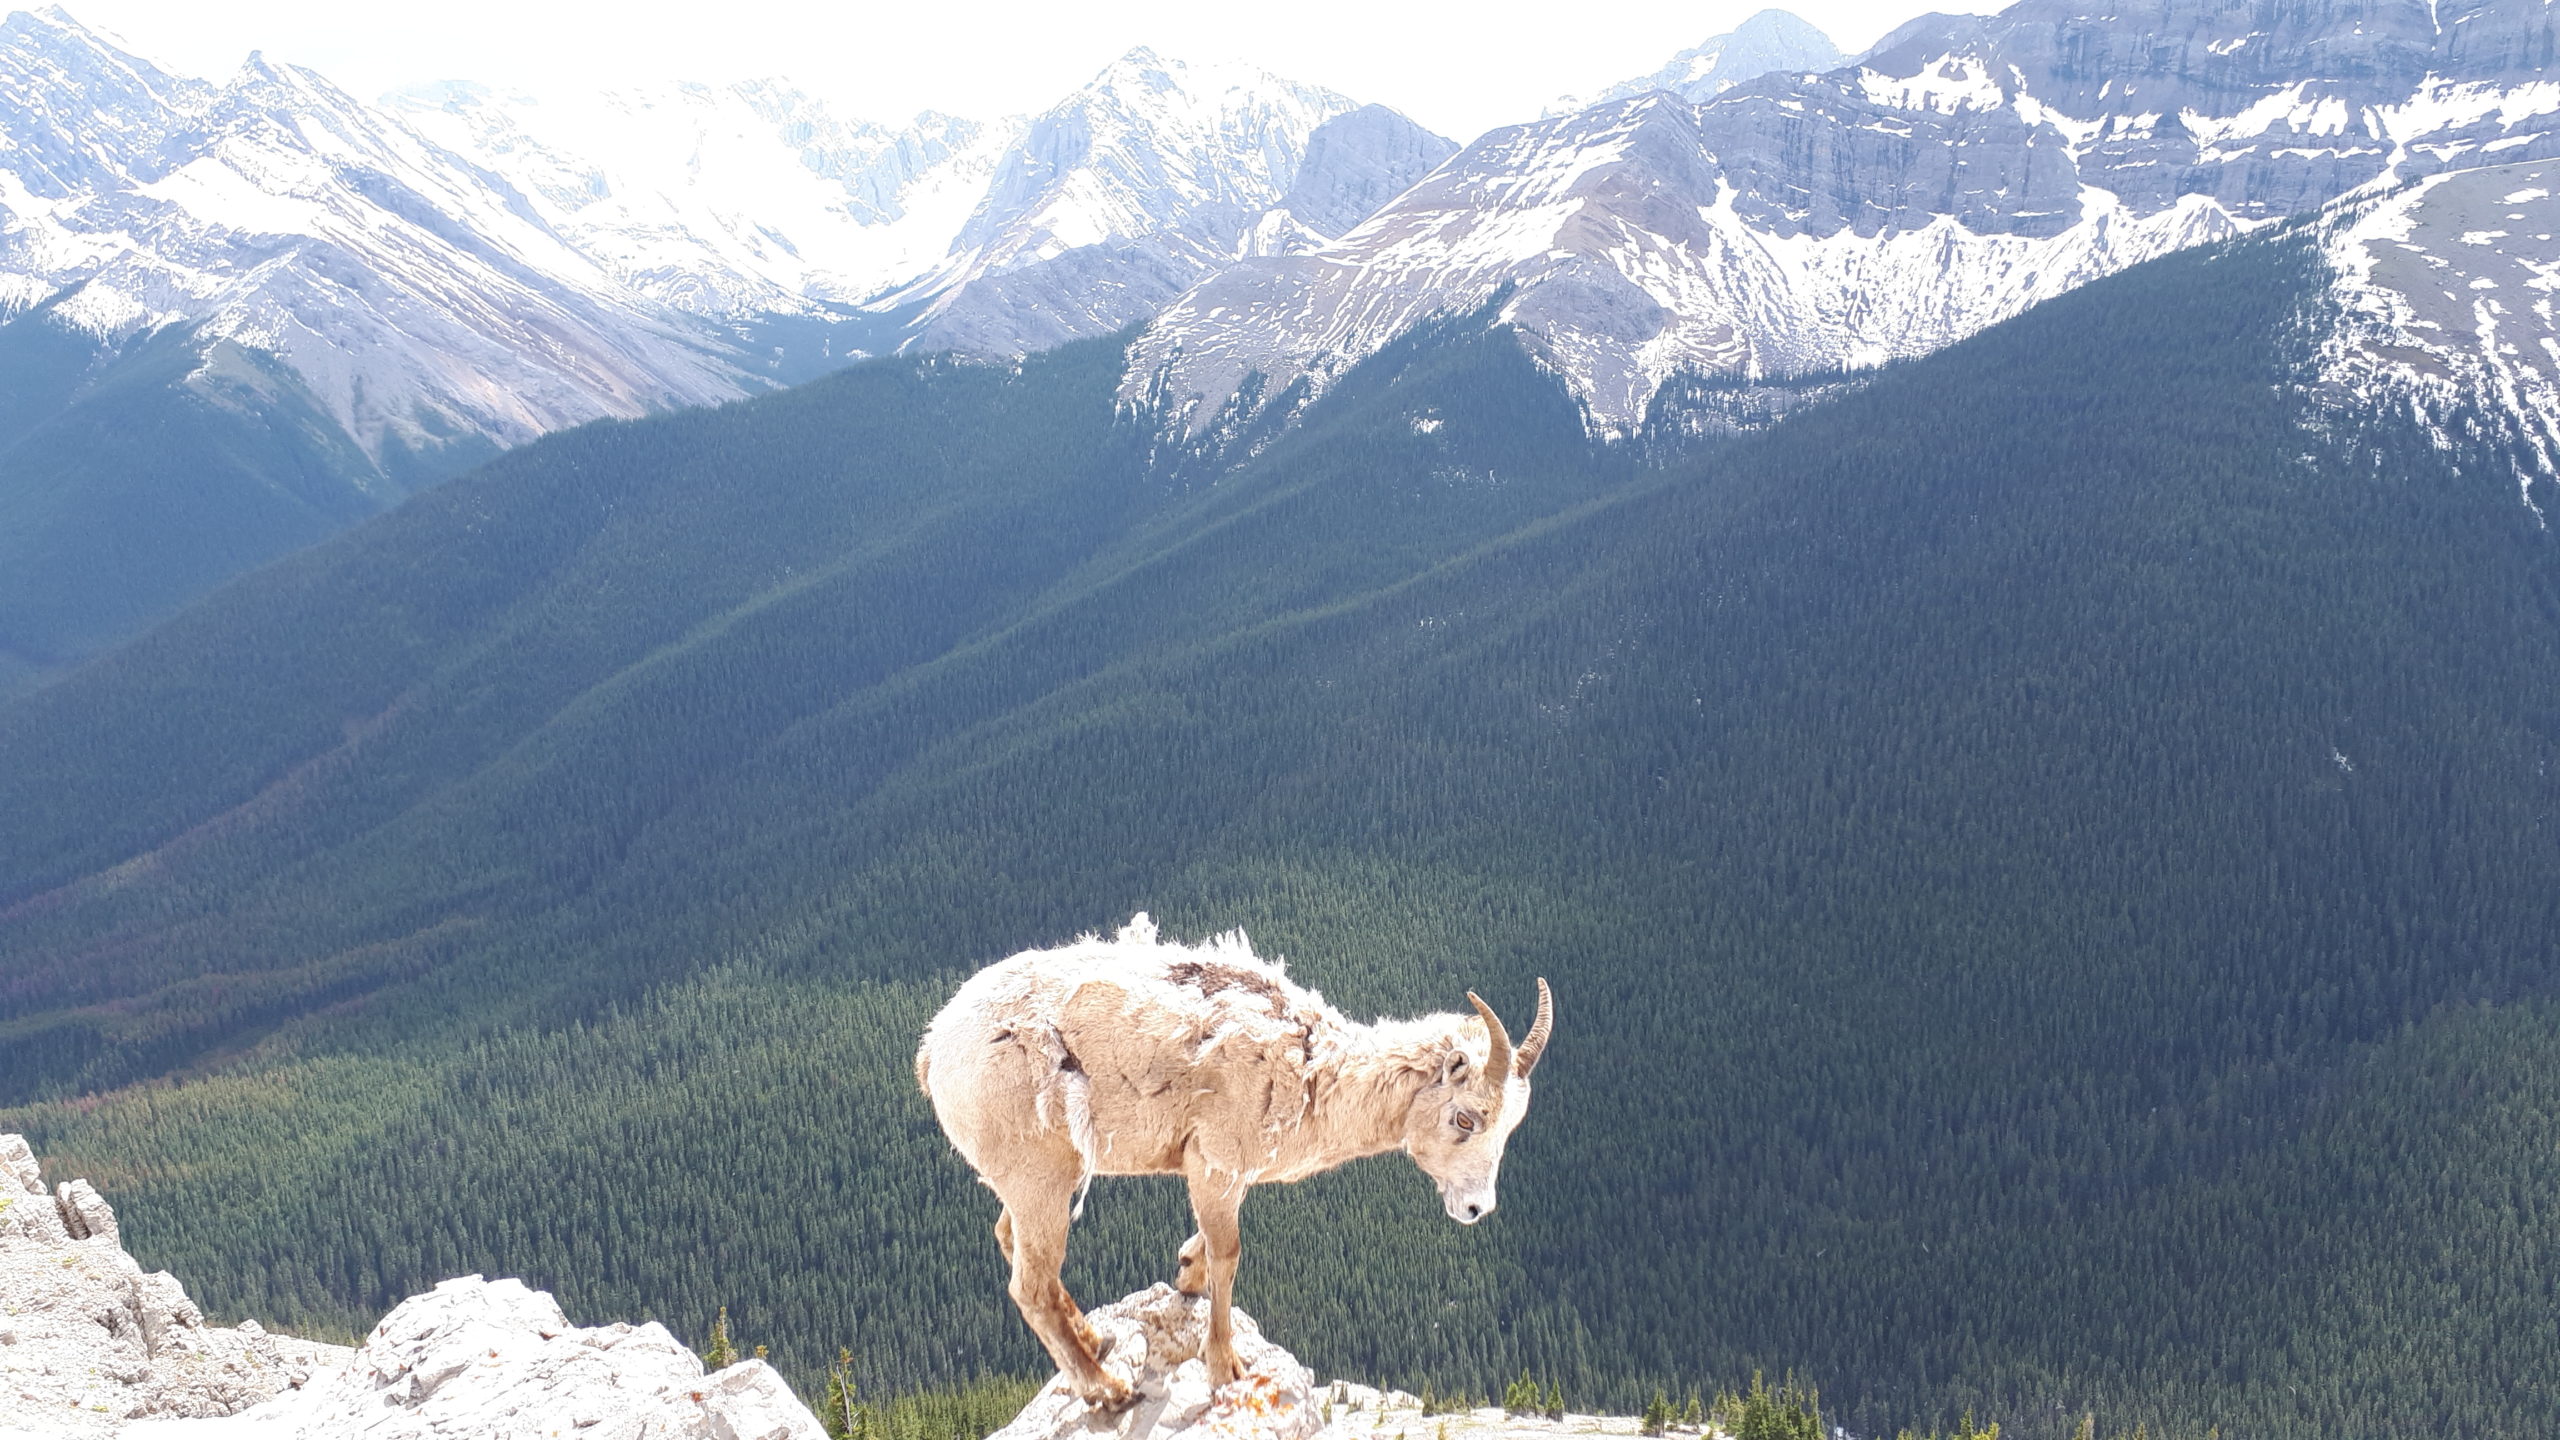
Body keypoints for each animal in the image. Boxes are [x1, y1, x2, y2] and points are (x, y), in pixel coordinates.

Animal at [921, 907, 1556, 1404]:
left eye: (1512, 1125)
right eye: (1466, 1118)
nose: (1475, 1209)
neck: (1310, 1071)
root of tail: (933, 1051)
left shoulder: (1220, 1174)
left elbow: (1208, 1246)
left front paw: (1186, 1271)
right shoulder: (1216, 1163)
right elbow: (1228, 1254)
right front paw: (1226, 1367)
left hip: (1034, 1180)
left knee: (1013, 1243)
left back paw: (1094, 1340)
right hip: (1041, 1177)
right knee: (1029, 1284)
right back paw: (1106, 1387)